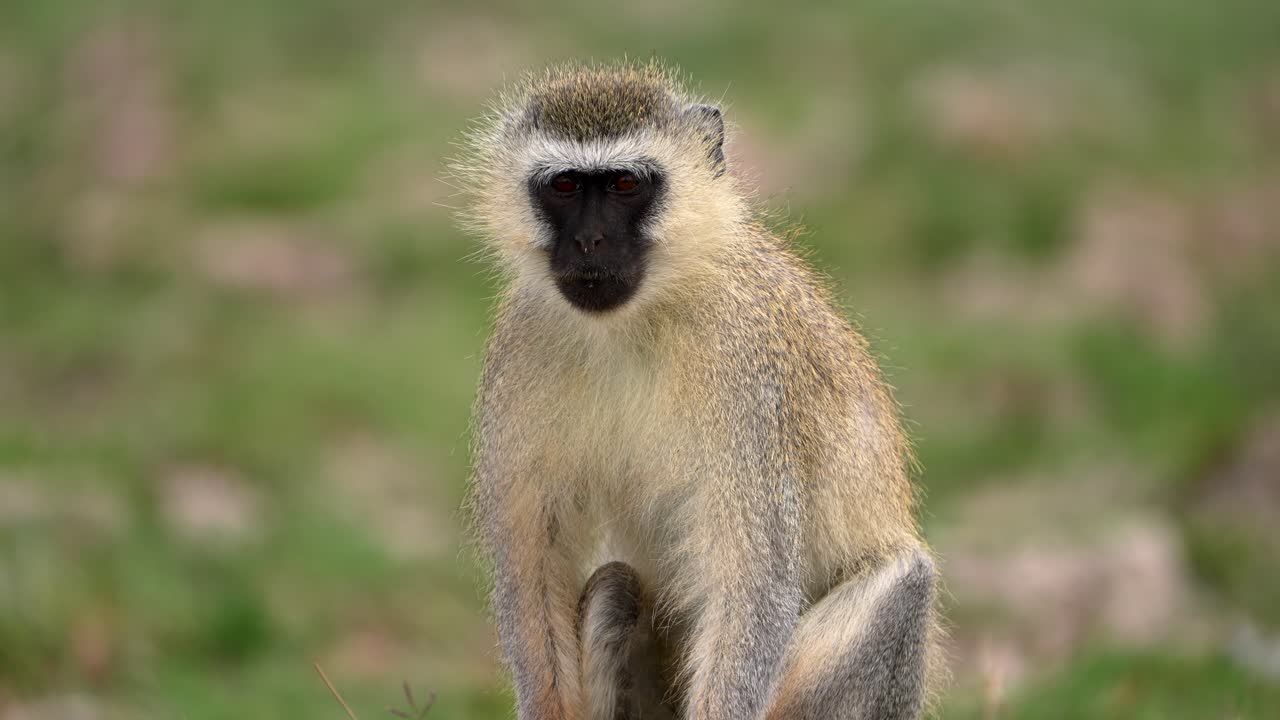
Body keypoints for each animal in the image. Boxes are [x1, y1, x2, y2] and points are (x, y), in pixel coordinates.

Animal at [454, 60, 944, 720]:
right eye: (564, 186)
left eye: (624, 184)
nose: (588, 242)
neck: (636, 322)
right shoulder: (520, 345)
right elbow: (533, 564)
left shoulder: (745, 371)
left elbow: (752, 583)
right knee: (614, 588)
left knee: (904, 583)